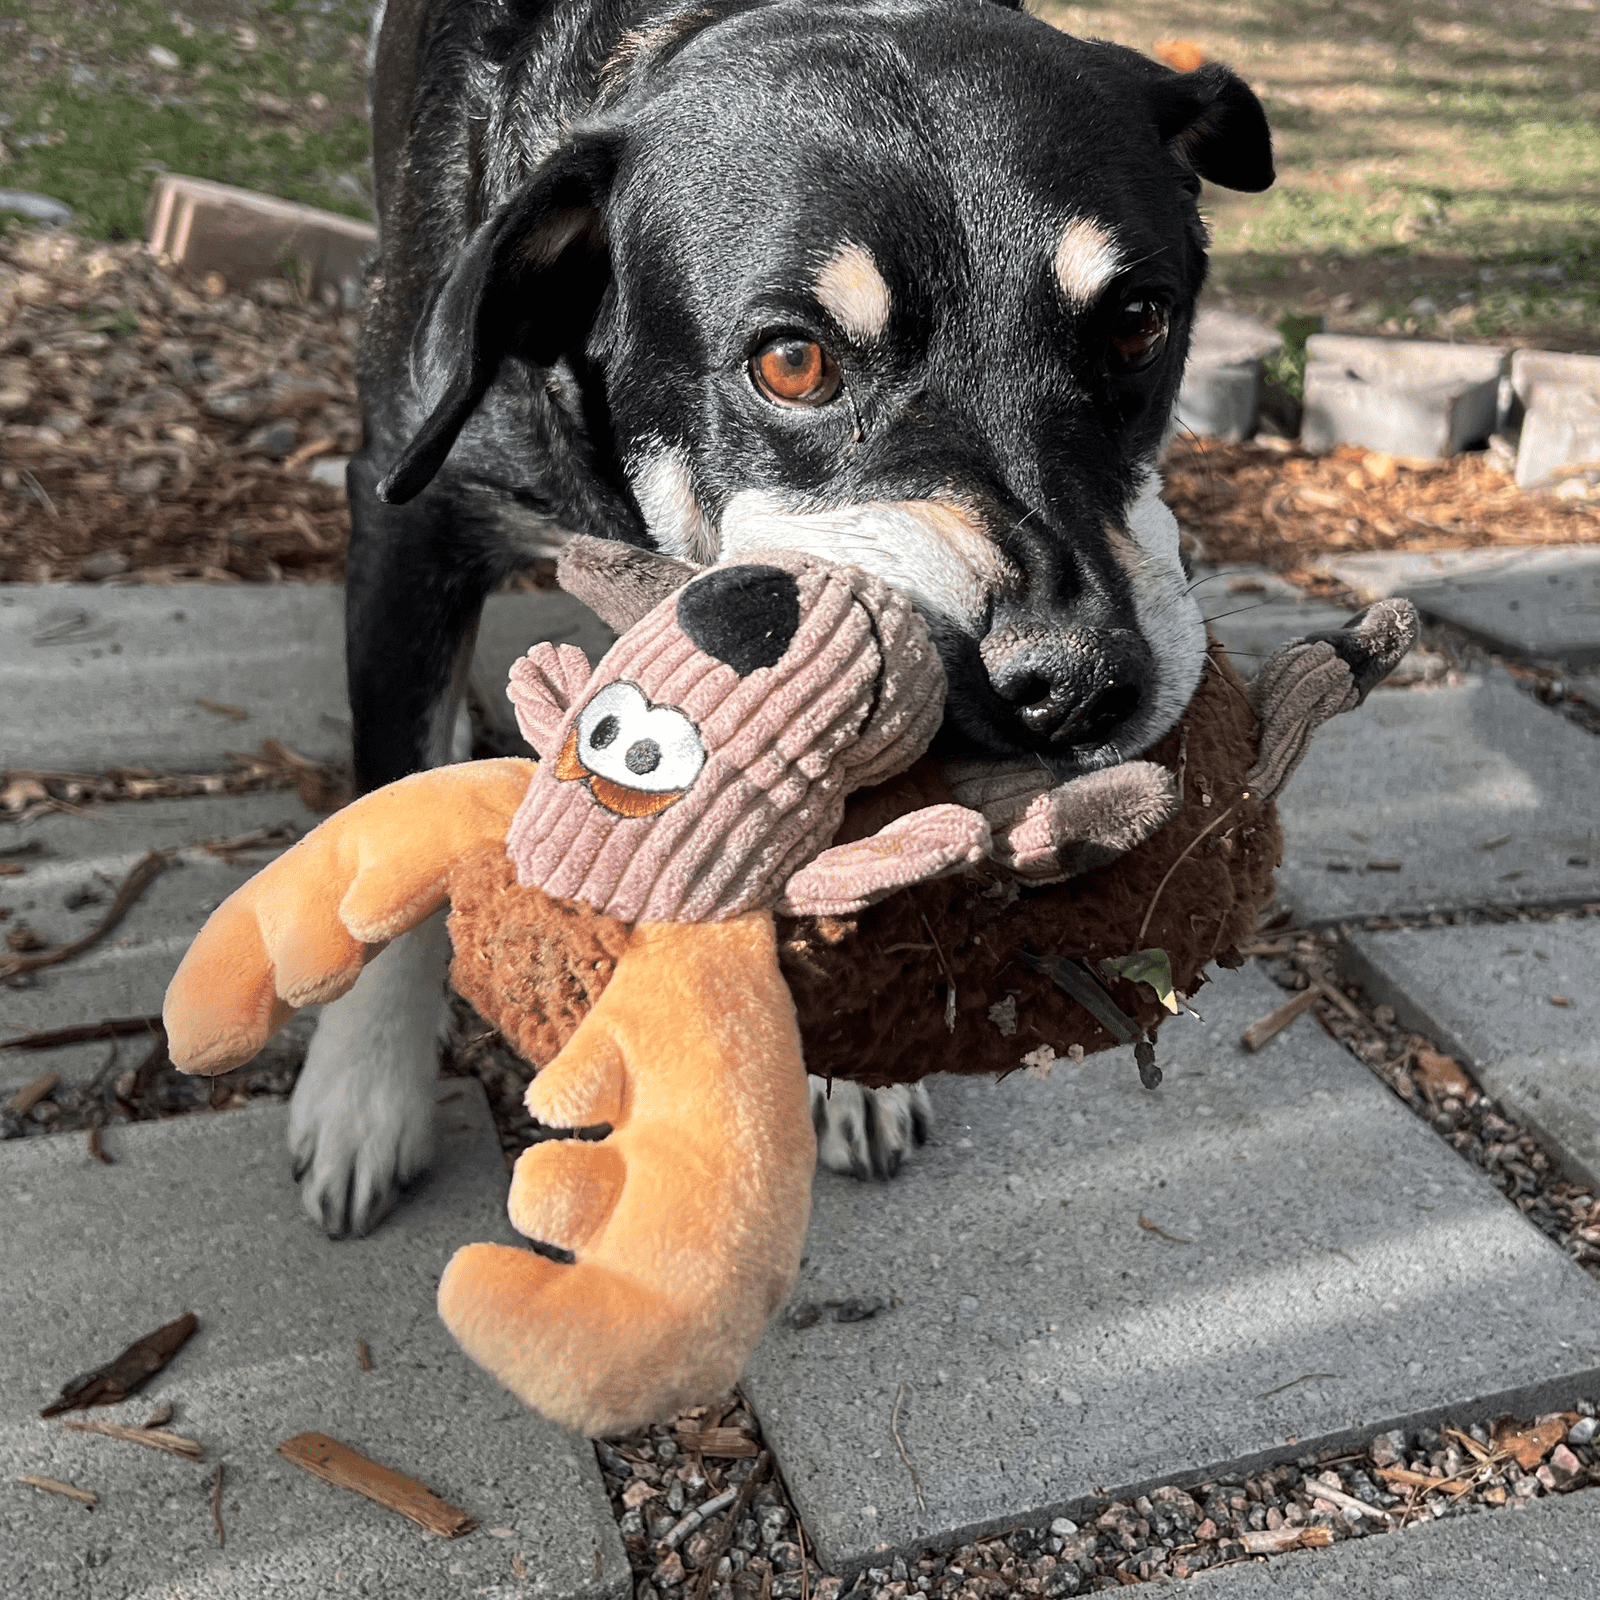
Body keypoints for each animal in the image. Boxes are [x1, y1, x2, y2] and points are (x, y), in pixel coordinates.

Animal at [288, 0, 1267, 1235]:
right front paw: (362, 1093)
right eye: (793, 361)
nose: (1078, 683)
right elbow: (383, 811)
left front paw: (850, 1071)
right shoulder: (404, 516)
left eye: (1139, 321)